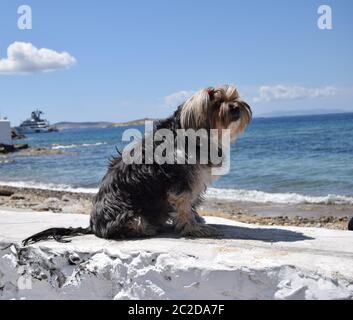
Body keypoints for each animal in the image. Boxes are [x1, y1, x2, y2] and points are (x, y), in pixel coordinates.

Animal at [22, 85, 250, 245]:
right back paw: (148, 228)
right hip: (131, 215)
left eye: (233, 96)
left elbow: (190, 205)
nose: (236, 107)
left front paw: (196, 221)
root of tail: (92, 227)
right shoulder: (182, 183)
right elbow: (184, 205)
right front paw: (193, 228)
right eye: (216, 102)